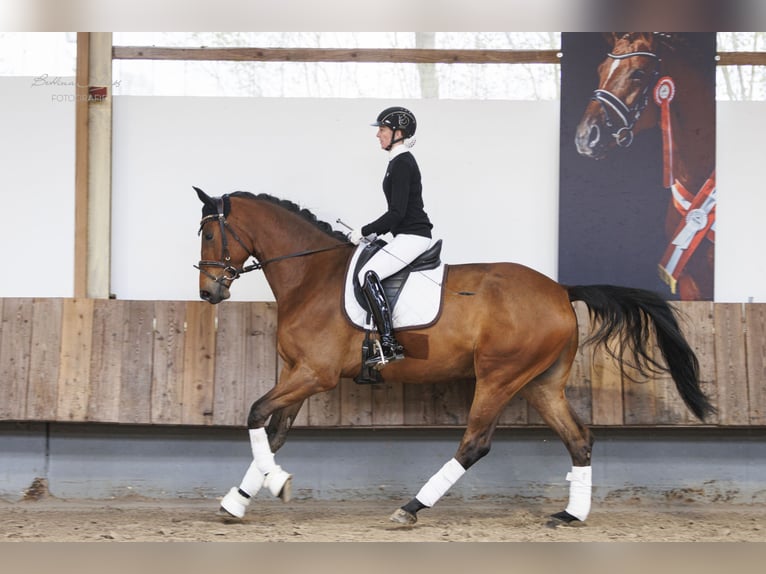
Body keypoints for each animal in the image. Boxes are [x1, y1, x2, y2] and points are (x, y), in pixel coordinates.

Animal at [195, 187, 716, 528]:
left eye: (208, 236)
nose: (208, 292)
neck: (310, 275)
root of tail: (560, 290)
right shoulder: (298, 372)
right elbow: (274, 431)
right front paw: (240, 499)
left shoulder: (314, 374)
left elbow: (256, 414)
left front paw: (273, 484)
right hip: (541, 383)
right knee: (579, 438)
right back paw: (571, 514)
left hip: (499, 377)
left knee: (474, 444)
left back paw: (411, 508)